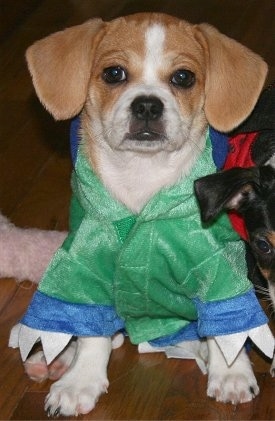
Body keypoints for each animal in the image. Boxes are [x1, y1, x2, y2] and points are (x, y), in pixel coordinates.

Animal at [8, 11, 274, 416]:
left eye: (184, 77)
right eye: (113, 73)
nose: (147, 105)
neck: (142, 180)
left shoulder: (219, 268)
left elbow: (226, 328)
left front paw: (230, 373)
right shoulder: (89, 268)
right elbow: (93, 333)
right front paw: (80, 381)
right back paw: (55, 358)